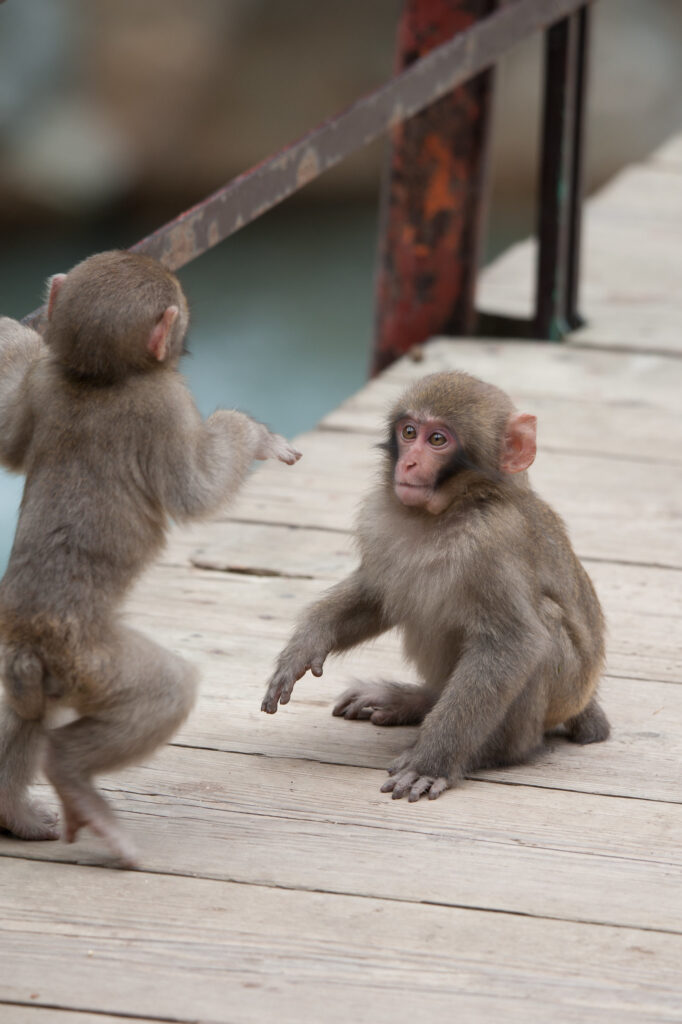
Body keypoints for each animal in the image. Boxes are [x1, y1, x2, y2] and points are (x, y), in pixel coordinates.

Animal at [0, 250, 301, 864]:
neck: (100, 378)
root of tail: (32, 640)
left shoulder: (44, 381)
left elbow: (10, 439)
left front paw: (7, 333)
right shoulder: (167, 402)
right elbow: (196, 492)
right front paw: (254, 435)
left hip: (36, 667)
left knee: (23, 715)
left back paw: (14, 812)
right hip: (90, 661)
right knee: (168, 690)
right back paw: (71, 775)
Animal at [262, 370, 609, 802]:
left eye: (438, 440)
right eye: (409, 432)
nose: (409, 462)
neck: (444, 513)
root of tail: (583, 701)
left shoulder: (493, 545)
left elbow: (515, 643)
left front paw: (432, 761)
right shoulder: (380, 525)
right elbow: (376, 595)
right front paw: (307, 642)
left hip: (565, 693)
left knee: (542, 627)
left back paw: (495, 750)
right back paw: (417, 700)